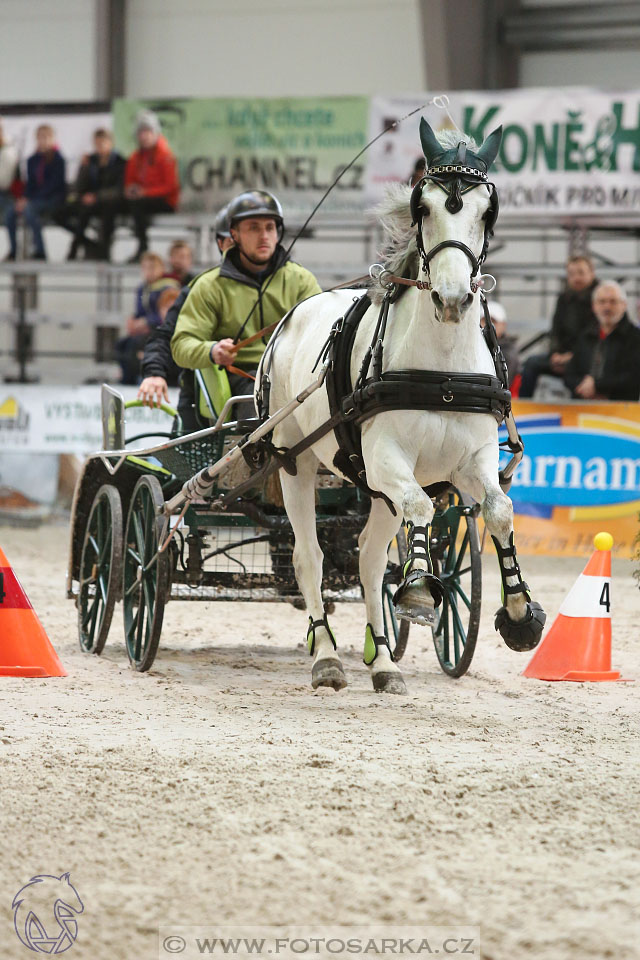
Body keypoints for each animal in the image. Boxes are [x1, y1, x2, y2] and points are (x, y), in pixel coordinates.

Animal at [260, 124, 544, 692]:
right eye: (423, 206)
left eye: (487, 211)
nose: (454, 300)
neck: (443, 373)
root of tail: (293, 315)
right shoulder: (388, 460)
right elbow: (422, 508)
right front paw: (417, 589)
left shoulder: (472, 461)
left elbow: (498, 510)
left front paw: (521, 611)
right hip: (295, 462)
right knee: (309, 558)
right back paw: (326, 657)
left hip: (372, 489)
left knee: (369, 558)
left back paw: (385, 661)